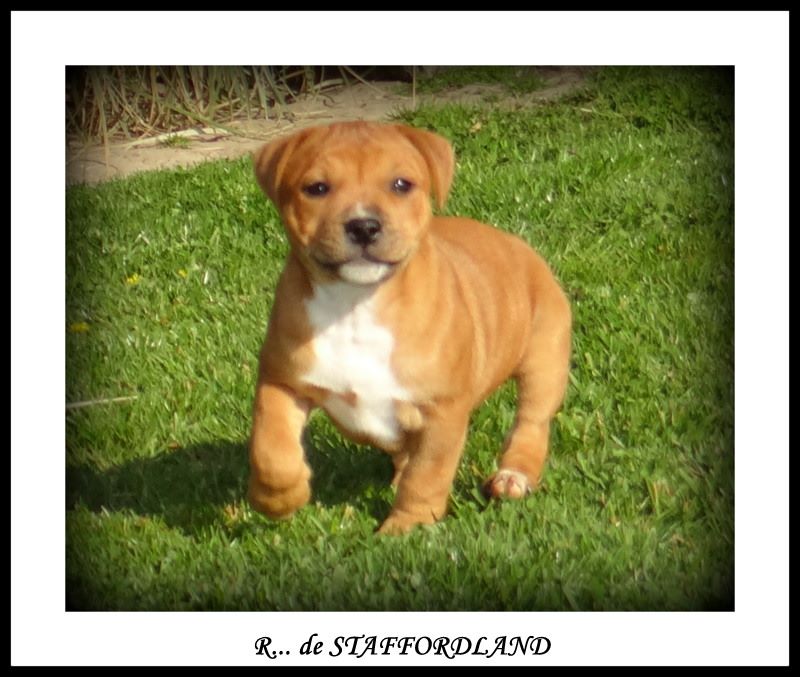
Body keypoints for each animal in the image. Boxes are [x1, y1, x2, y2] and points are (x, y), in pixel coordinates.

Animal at [248, 121, 571, 534]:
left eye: (401, 184)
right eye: (316, 188)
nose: (364, 225)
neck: (356, 306)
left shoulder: (441, 412)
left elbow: (428, 474)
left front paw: (407, 527)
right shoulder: (282, 380)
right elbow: (271, 450)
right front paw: (279, 499)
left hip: (545, 354)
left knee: (531, 420)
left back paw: (514, 476)